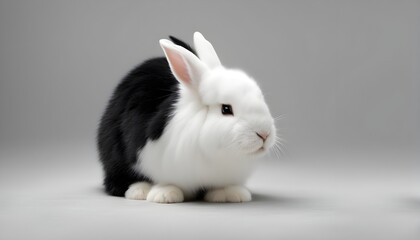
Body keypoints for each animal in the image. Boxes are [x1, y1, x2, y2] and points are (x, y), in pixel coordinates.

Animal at [97, 31, 278, 203]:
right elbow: (165, 181)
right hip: (114, 155)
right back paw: (139, 190)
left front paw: (231, 194)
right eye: (226, 109)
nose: (264, 134)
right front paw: (165, 195)